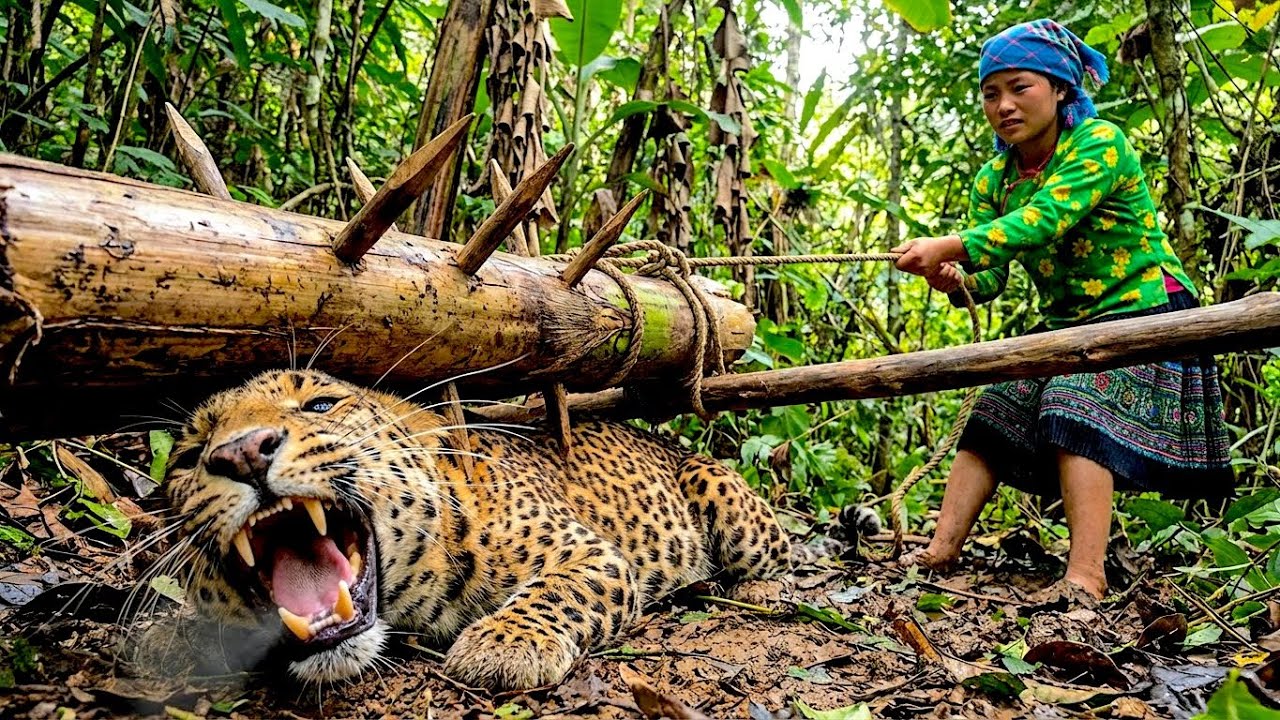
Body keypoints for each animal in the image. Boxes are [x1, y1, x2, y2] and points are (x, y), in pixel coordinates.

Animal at [163, 369, 792, 691]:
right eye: (188, 456)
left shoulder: (592, 553)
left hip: (721, 492)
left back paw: (761, 590)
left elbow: (558, 590)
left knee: (779, 552)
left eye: (320, 405)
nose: (244, 452)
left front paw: (505, 644)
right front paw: (170, 641)